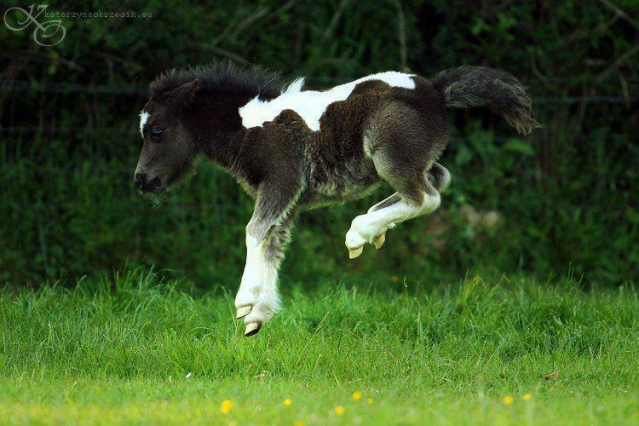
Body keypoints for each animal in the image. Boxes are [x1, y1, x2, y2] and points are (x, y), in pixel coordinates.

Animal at [134, 62, 540, 336]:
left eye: (156, 131)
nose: (141, 181)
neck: (249, 126)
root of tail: (438, 91)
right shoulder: (291, 200)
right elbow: (272, 243)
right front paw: (258, 316)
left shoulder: (282, 182)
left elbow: (254, 232)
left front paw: (245, 301)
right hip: (404, 159)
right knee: (438, 178)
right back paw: (375, 227)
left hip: (387, 150)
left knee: (426, 197)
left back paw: (360, 231)